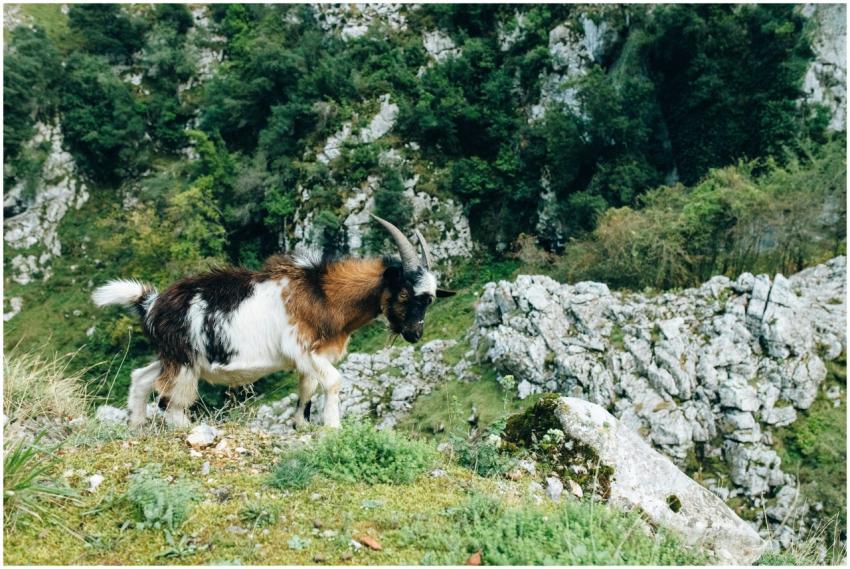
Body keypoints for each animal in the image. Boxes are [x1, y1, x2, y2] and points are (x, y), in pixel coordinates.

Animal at [92, 215, 455, 429]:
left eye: (430, 299)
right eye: (405, 292)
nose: (415, 333)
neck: (323, 292)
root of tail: (150, 303)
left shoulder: (309, 358)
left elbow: (307, 388)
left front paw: (301, 425)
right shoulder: (304, 349)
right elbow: (333, 382)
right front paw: (333, 428)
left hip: (174, 357)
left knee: (141, 378)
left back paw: (136, 427)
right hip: (183, 362)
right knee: (171, 403)